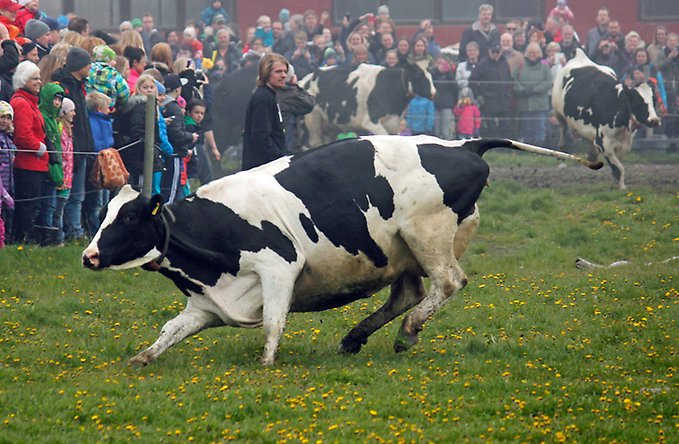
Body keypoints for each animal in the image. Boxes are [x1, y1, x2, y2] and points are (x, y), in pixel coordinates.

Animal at [81, 137, 600, 366]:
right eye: (104, 214)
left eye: (129, 219)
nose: (88, 256)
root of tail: (461, 144)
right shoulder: (208, 302)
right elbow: (171, 329)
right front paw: (143, 357)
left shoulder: (279, 267)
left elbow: (273, 321)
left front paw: (267, 363)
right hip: (401, 252)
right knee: (408, 294)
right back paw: (356, 336)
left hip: (426, 234)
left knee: (447, 283)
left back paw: (407, 333)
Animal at [302, 62, 438, 147]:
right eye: (419, 75)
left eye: (431, 75)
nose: (433, 93)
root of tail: (308, 77)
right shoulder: (371, 122)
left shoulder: (393, 124)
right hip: (313, 121)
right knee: (315, 142)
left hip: (330, 126)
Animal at [552, 48, 660, 189]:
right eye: (638, 102)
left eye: (654, 100)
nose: (655, 120)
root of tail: (580, 55)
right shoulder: (604, 143)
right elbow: (619, 168)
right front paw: (622, 187)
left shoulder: (623, 144)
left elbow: (616, 167)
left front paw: (616, 184)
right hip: (558, 112)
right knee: (563, 128)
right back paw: (562, 149)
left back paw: (591, 155)